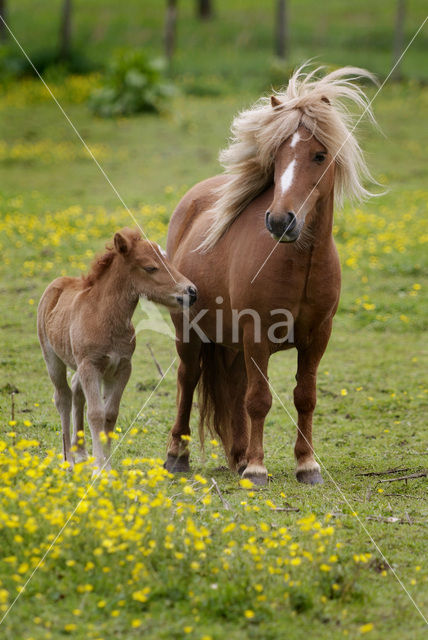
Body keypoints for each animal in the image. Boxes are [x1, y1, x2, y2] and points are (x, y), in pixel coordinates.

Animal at [166, 66, 376, 484]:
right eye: (277, 157)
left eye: (319, 155)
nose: (280, 221)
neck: (299, 264)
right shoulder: (257, 334)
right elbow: (259, 400)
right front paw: (258, 469)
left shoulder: (317, 338)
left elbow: (304, 397)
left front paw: (306, 465)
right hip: (191, 337)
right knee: (187, 380)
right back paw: (178, 456)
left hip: (232, 346)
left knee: (232, 388)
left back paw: (239, 455)